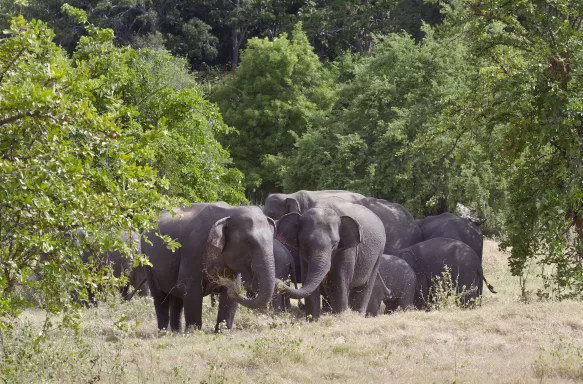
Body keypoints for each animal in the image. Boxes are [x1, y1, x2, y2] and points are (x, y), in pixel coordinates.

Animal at [143, 202, 278, 332]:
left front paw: (223, 332)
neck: (229, 212)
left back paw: (176, 332)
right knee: (160, 297)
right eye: (248, 242)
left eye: (272, 240)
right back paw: (164, 332)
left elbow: (227, 299)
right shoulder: (193, 250)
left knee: (177, 298)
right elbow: (190, 290)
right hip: (147, 262)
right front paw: (194, 332)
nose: (235, 288)